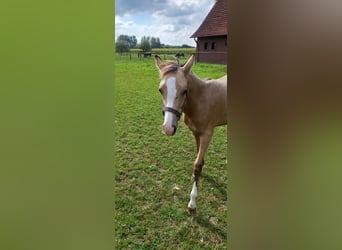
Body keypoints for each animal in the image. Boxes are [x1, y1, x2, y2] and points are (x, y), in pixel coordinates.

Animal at [156, 54, 227, 213]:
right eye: (160, 90)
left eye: (184, 90)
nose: (168, 128)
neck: (201, 99)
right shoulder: (195, 132)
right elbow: (199, 159)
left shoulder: (207, 134)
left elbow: (197, 164)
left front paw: (192, 202)